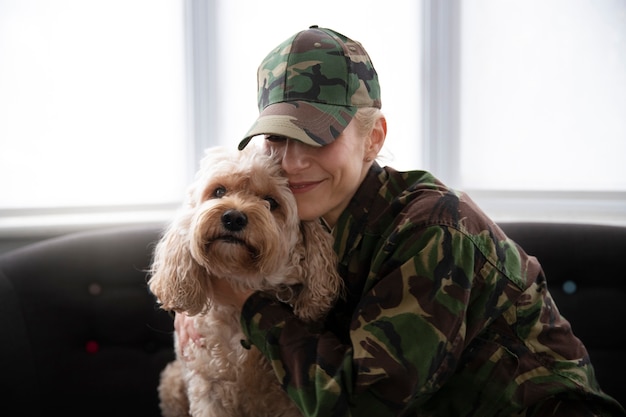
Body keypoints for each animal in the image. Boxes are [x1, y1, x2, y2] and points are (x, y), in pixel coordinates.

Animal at [146, 145, 342, 416]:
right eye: (219, 191)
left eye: (271, 202)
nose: (234, 218)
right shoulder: (207, 388)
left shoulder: (287, 402)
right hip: (172, 383)